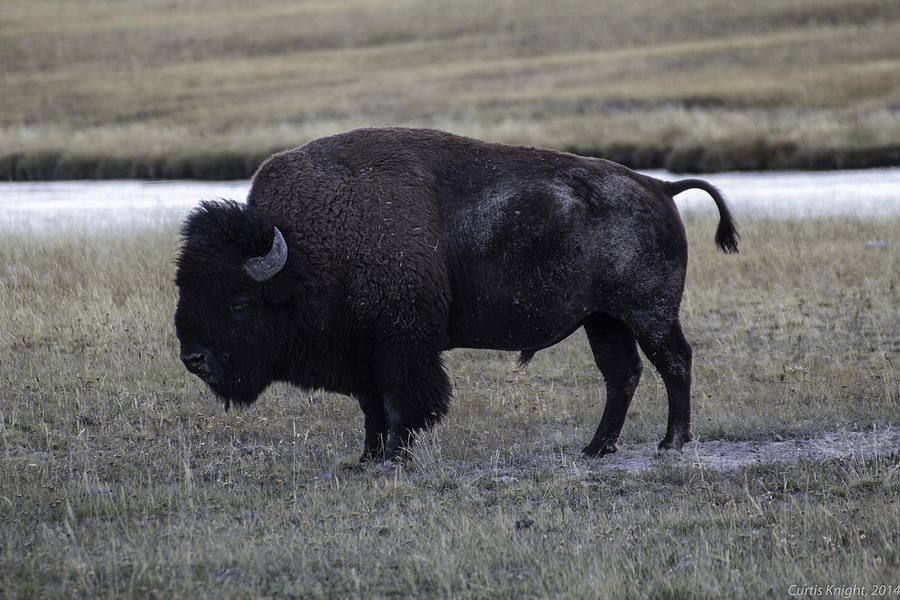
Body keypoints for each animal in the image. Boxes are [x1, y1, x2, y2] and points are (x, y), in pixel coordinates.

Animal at [176, 127, 740, 464]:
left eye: (238, 302)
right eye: (184, 287)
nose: (193, 358)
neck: (305, 254)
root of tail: (658, 187)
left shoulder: (402, 347)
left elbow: (403, 405)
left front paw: (394, 457)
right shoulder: (365, 355)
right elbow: (372, 409)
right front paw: (367, 458)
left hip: (649, 314)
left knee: (674, 362)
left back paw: (670, 443)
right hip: (604, 319)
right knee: (622, 374)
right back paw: (595, 449)